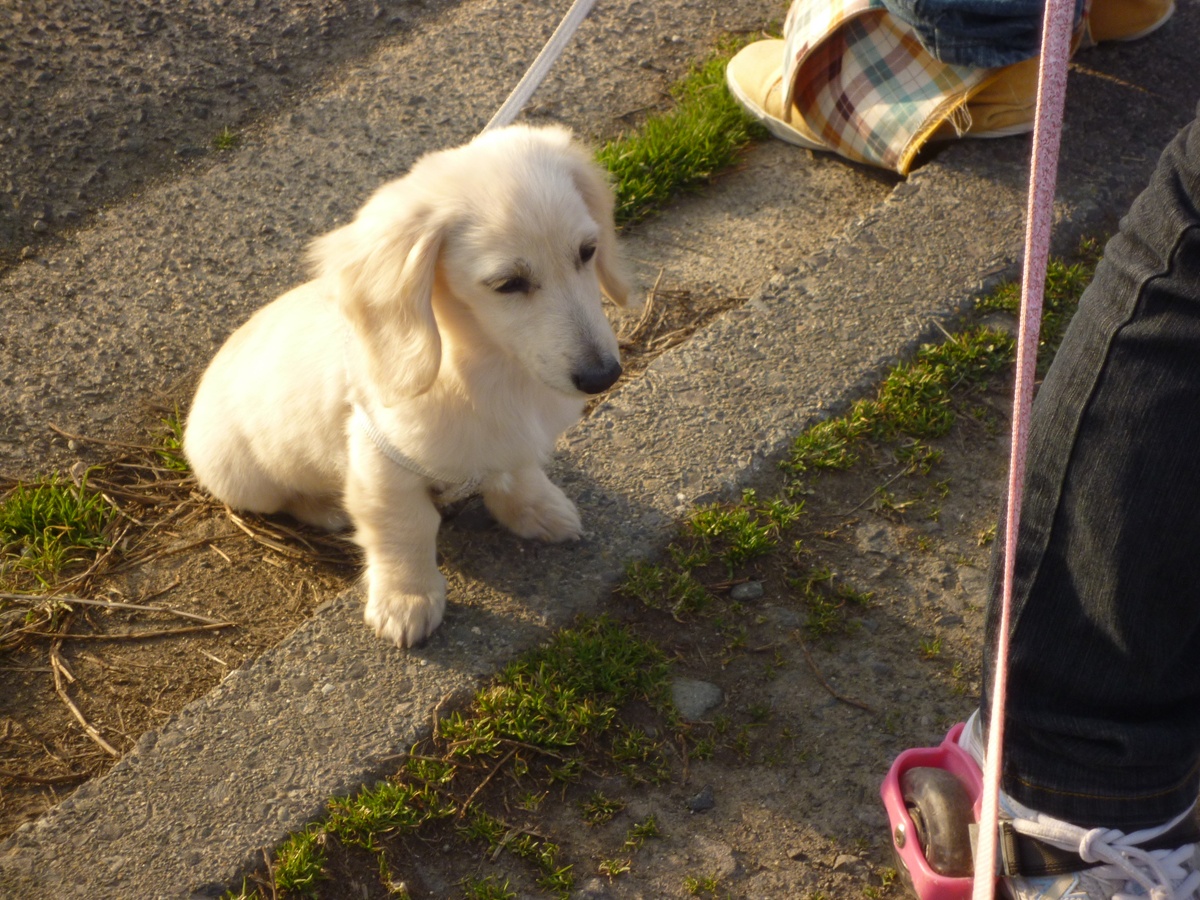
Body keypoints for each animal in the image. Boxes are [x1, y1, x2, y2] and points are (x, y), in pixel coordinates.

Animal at [183, 125, 629, 647]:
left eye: (587, 251)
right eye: (507, 283)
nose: (603, 376)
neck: (485, 366)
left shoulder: (511, 442)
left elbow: (516, 474)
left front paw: (537, 511)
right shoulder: (383, 465)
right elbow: (406, 530)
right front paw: (407, 600)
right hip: (248, 481)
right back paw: (326, 508)